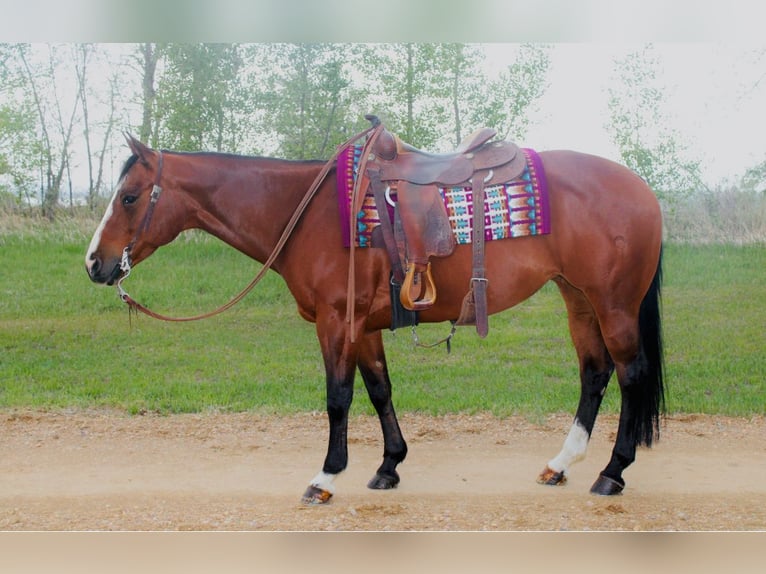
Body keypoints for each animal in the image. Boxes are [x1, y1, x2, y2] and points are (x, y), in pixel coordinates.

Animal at [84, 129, 664, 504]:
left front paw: (325, 477)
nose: (95, 263)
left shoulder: (337, 321)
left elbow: (338, 398)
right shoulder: (362, 327)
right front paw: (389, 466)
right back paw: (561, 464)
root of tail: (643, 189)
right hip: (578, 298)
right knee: (595, 373)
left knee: (631, 374)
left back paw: (613, 471)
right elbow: (379, 390)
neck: (308, 212)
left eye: (130, 197)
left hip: (612, 303)